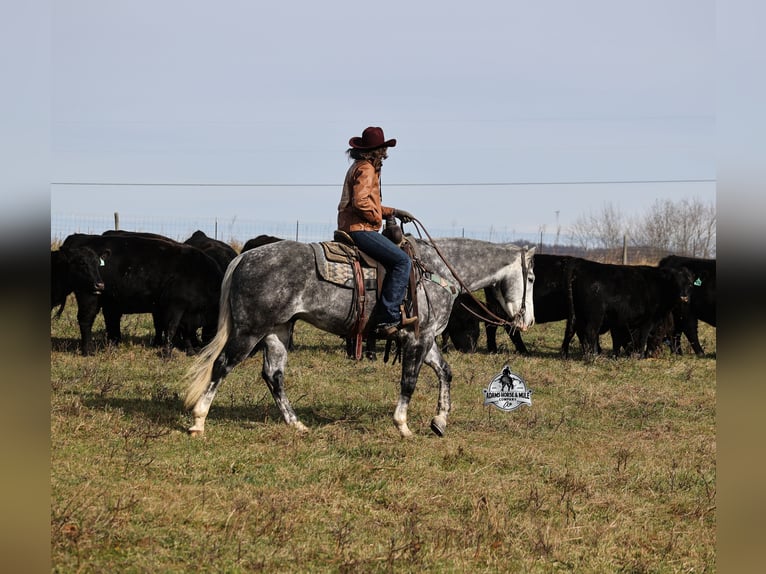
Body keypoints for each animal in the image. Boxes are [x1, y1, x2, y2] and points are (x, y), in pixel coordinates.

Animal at [183, 236, 535, 438]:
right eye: (531, 277)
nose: (528, 320)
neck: (435, 271)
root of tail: (244, 257)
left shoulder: (427, 339)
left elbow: (445, 373)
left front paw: (440, 421)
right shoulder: (417, 340)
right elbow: (409, 381)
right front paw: (403, 425)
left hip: (278, 331)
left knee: (274, 375)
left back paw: (296, 424)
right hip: (250, 331)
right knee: (222, 365)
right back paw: (198, 421)